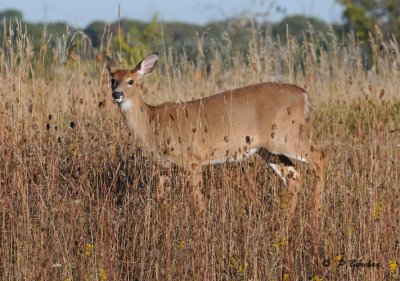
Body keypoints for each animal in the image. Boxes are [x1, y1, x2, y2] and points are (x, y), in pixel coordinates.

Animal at [108, 52, 326, 223]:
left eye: (131, 81)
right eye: (112, 79)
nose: (117, 94)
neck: (152, 122)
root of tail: (304, 96)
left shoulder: (192, 160)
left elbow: (197, 200)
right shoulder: (164, 167)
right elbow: (161, 198)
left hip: (285, 136)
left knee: (320, 156)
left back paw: (314, 213)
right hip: (268, 148)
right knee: (294, 176)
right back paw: (286, 220)